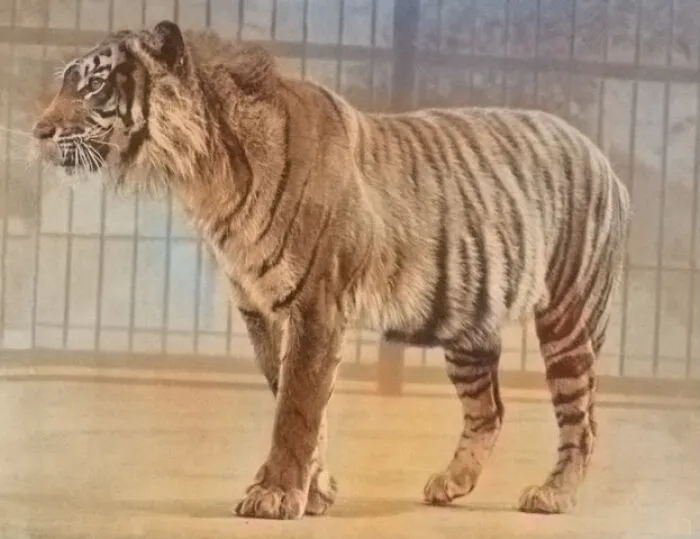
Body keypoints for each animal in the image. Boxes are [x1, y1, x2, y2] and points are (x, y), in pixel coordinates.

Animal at [30, 21, 631, 520]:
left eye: (94, 86)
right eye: (67, 83)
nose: (37, 131)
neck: (205, 174)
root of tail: (602, 156)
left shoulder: (316, 304)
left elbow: (296, 408)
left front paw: (275, 495)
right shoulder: (261, 310)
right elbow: (297, 401)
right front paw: (315, 492)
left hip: (569, 318)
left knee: (583, 418)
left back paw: (554, 494)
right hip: (469, 327)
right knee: (490, 410)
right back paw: (451, 484)